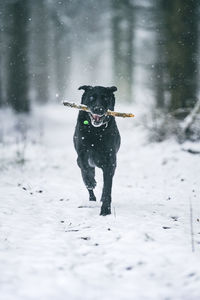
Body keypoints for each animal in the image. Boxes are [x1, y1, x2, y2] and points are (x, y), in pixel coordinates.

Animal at [73, 85, 120, 214]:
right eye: (91, 97)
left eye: (105, 98)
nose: (98, 109)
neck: (96, 131)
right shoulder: (82, 154)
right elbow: (85, 169)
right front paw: (90, 182)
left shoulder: (110, 162)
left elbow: (107, 187)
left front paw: (105, 210)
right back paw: (91, 197)